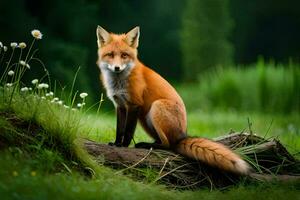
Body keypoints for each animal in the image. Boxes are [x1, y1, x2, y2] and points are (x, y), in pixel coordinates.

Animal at [96, 25, 251, 174]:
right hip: (144, 118)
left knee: (168, 145)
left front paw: (124, 146)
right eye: (110, 55)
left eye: (124, 55)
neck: (119, 83)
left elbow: (128, 131)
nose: (117, 68)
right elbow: (120, 129)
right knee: (163, 141)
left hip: (155, 107)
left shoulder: (134, 104)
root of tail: (182, 136)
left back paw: (147, 145)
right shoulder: (120, 105)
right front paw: (117, 144)